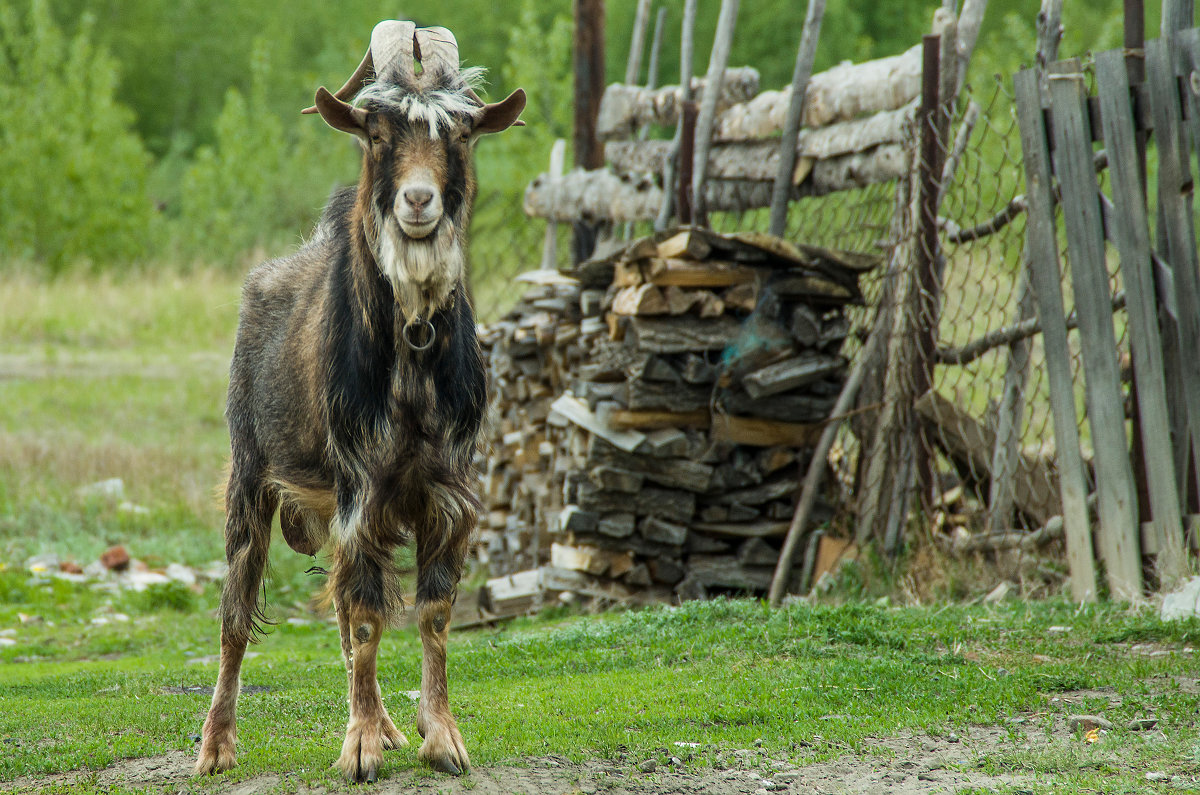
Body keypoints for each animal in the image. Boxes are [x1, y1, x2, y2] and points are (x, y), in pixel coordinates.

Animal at [194, 20, 523, 782]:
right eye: (376, 132)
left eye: (463, 132)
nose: (418, 201)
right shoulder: (360, 488)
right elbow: (370, 617)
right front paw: (361, 751)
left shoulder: (447, 491)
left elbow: (430, 613)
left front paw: (438, 737)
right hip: (249, 475)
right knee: (236, 613)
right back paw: (217, 747)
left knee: (343, 613)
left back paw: (388, 724)